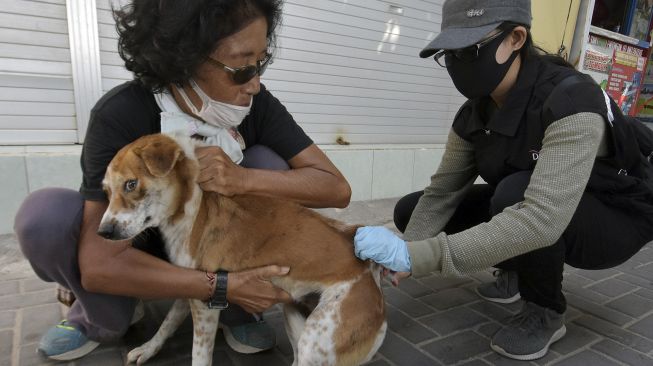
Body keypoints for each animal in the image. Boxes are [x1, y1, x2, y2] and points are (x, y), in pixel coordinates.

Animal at [94, 134, 384, 366]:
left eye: (131, 184)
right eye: (106, 192)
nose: (103, 232)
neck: (192, 207)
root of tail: (370, 278)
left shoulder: (206, 306)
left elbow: (199, 355)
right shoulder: (192, 285)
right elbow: (168, 323)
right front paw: (148, 348)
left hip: (316, 341)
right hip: (297, 319)